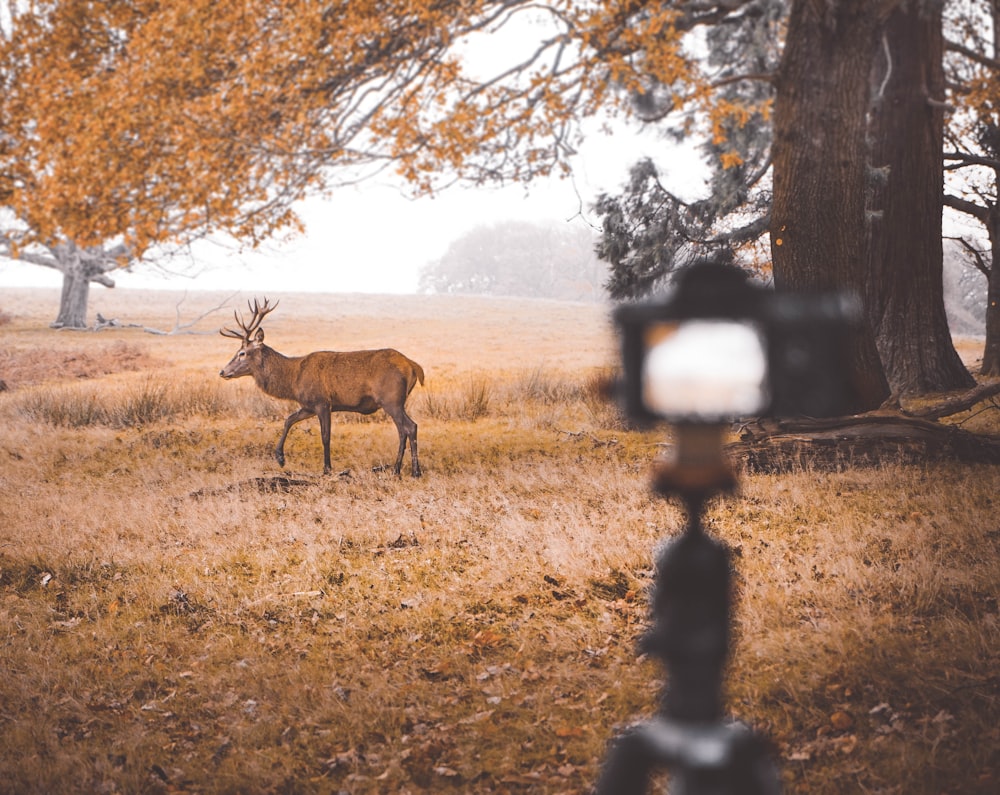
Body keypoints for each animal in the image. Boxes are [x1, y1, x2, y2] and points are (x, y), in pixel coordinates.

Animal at [217, 302, 424, 478]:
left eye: (242, 353)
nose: (222, 371)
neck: (293, 380)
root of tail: (413, 366)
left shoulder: (322, 402)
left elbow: (325, 436)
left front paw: (327, 468)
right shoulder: (308, 405)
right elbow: (288, 420)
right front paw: (280, 458)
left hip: (391, 399)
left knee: (409, 427)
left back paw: (411, 471)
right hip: (397, 401)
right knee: (404, 429)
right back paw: (399, 469)